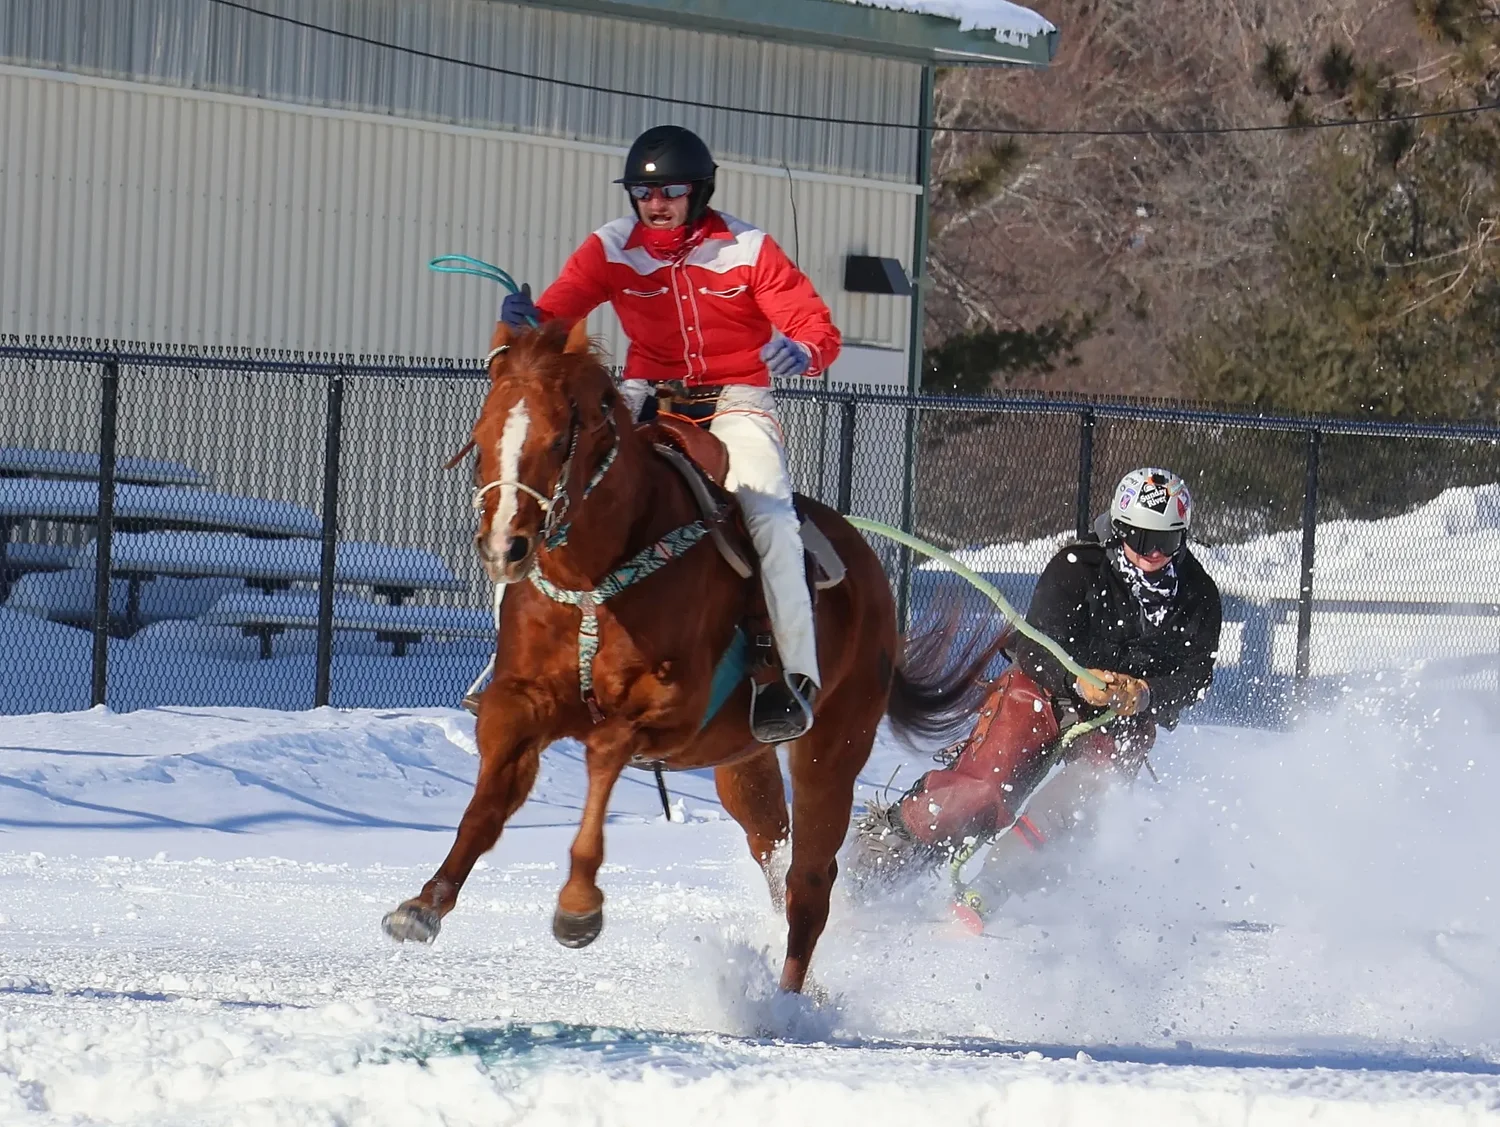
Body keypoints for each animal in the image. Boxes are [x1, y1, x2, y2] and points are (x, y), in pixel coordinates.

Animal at [381, 316, 990, 994]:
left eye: (558, 437)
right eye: (482, 437)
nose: (503, 547)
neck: (596, 575)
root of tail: (871, 572)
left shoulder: (670, 711)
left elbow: (603, 752)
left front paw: (578, 905)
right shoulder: (518, 704)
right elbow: (485, 807)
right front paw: (426, 902)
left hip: (833, 748)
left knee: (809, 881)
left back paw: (787, 1001)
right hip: (741, 765)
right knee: (775, 855)